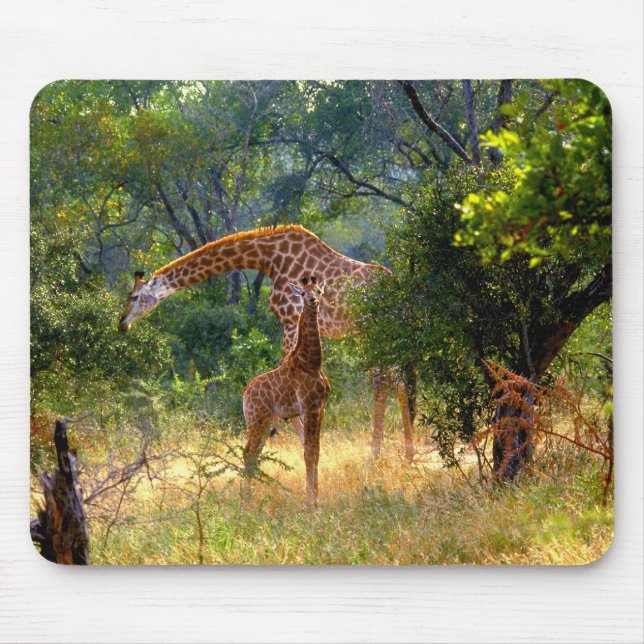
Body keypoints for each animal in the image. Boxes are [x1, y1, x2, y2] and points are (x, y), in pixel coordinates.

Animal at [118, 225, 415, 460]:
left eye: (134, 297)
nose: (122, 324)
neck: (269, 258)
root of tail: (398, 290)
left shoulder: (290, 318)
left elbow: (283, 373)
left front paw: (300, 441)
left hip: (368, 328)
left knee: (381, 383)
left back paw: (374, 455)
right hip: (379, 331)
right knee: (397, 383)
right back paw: (407, 453)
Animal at [242, 275, 330, 508]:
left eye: (318, 291)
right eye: (303, 293)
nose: (312, 301)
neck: (312, 362)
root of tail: (245, 395)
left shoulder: (320, 409)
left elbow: (316, 451)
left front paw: (316, 500)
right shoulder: (309, 408)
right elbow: (309, 452)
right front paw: (311, 504)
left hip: (261, 422)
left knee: (253, 453)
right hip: (258, 418)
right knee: (249, 452)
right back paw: (245, 501)